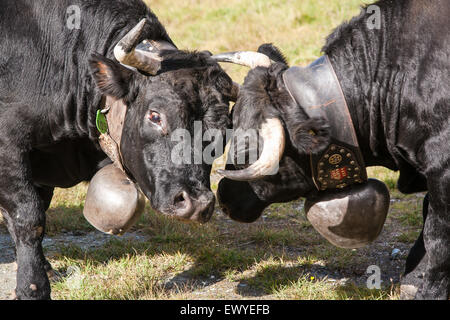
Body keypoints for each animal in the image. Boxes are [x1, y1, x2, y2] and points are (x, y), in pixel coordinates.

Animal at [0, 0, 234, 300]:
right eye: (155, 116)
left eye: (225, 128)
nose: (197, 203)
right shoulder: (10, 147)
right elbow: (29, 218)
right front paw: (33, 287)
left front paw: (45, 268)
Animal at [214, 0, 450, 300]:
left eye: (248, 153)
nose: (222, 197)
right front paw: (413, 278)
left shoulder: (443, 170)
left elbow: (437, 237)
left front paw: (428, 290)